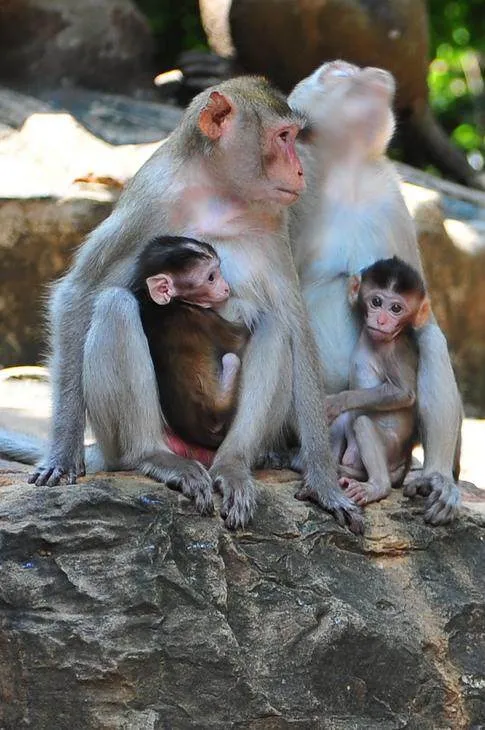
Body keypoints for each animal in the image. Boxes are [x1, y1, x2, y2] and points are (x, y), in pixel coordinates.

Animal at [131, 235, 249, 466]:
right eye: (211, 277)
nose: (226, 287)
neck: (172, 303)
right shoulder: (202, 317)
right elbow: (238, 340)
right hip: (219, 407)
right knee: (232, 359)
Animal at [329, 257, 431, 506]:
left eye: (396, 309)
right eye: (376, 302)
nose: (382, 320)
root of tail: (403, 467)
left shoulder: (396, 353)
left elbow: (404, 393)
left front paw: (338, 400)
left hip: (390, 451)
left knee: (362, 422)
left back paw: (376, 487)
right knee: (344, 420)